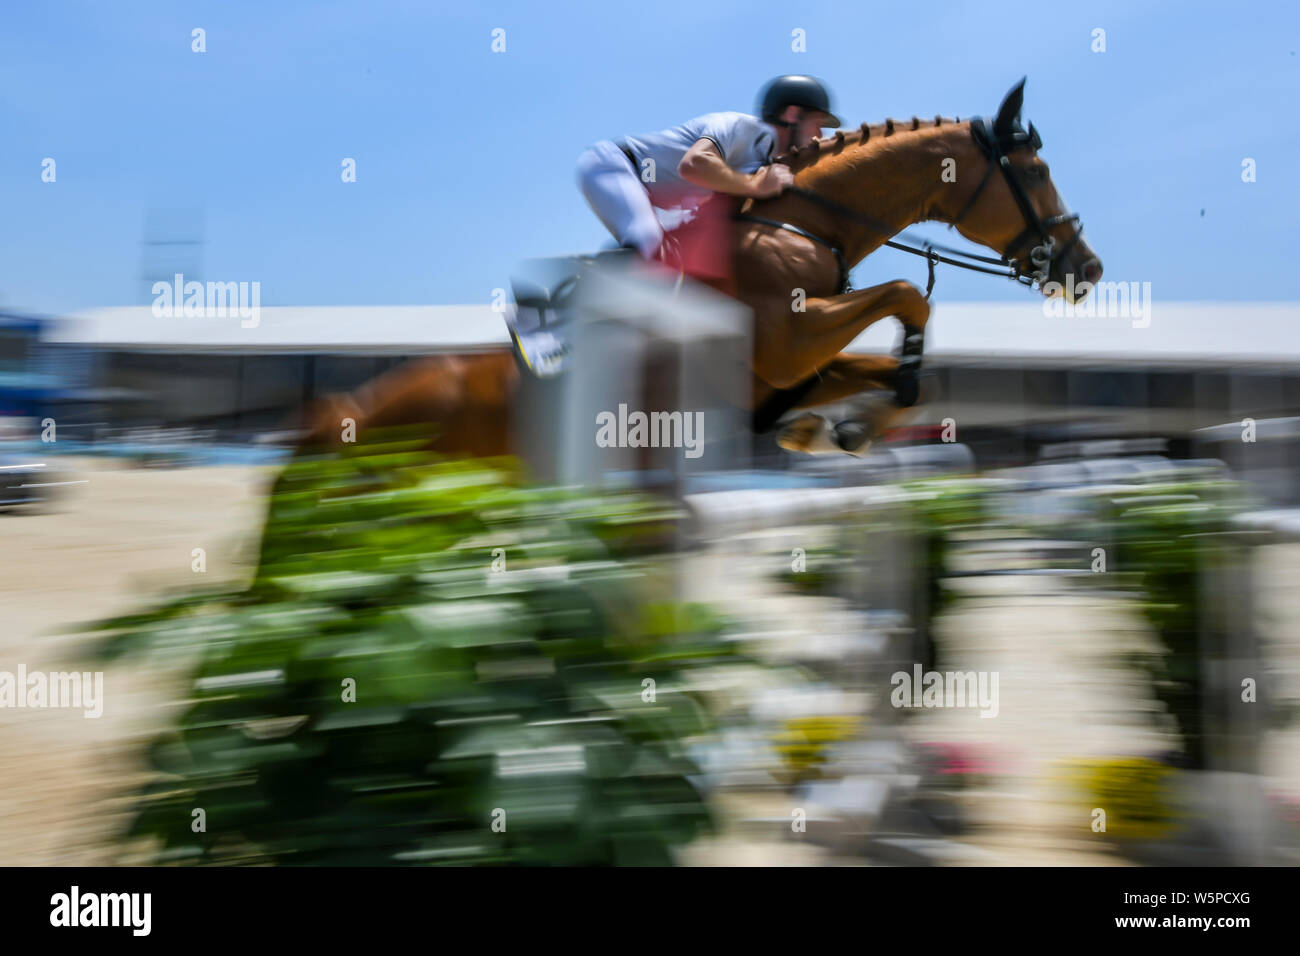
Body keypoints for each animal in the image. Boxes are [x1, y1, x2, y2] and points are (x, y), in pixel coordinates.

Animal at [284, 76, 1097, 465]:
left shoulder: (796, 368)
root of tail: (345, 411)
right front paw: (849, 424)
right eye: (1036, 170)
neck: (804, 224)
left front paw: (841, 428)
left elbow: (892, 375)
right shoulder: (788, 340)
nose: (1086, 267)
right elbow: (906, 295)